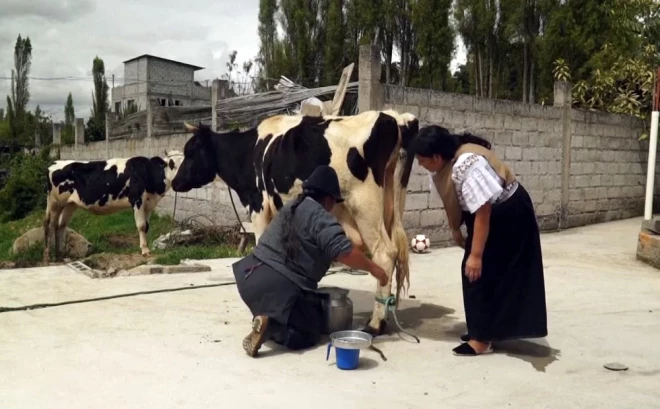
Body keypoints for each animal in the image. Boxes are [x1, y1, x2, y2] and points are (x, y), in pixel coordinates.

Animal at [43, 150, 184, 262]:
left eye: (185, 163)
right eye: (171, 164)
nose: (179, 181)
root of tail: (53, 164)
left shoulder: (148, 205)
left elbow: (146, 227)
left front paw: (146, 247)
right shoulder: (137, 200)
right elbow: (141, 226)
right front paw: (145, 251)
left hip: (69, 204)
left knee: (61, 226)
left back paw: (59, 256)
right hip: (55, 202)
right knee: (50, 225)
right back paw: (48, 257)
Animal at [170, 110, 418, 334]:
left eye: (190, 152)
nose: (175, 183)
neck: (248, 152)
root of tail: (393, 117)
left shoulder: (259, 207)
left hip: (364, 206)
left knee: (384, 254)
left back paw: (375, 324)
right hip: (392, 202)